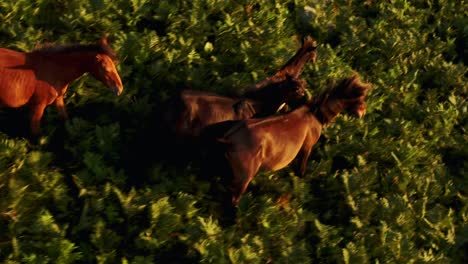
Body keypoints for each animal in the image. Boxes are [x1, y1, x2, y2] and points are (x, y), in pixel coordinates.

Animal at [203, 73, 372, 206]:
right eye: (361, 99)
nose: (363, 112)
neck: (314, 113)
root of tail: (229, 140)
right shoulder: (306, 148)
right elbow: (301, 170)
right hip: (243, 179)